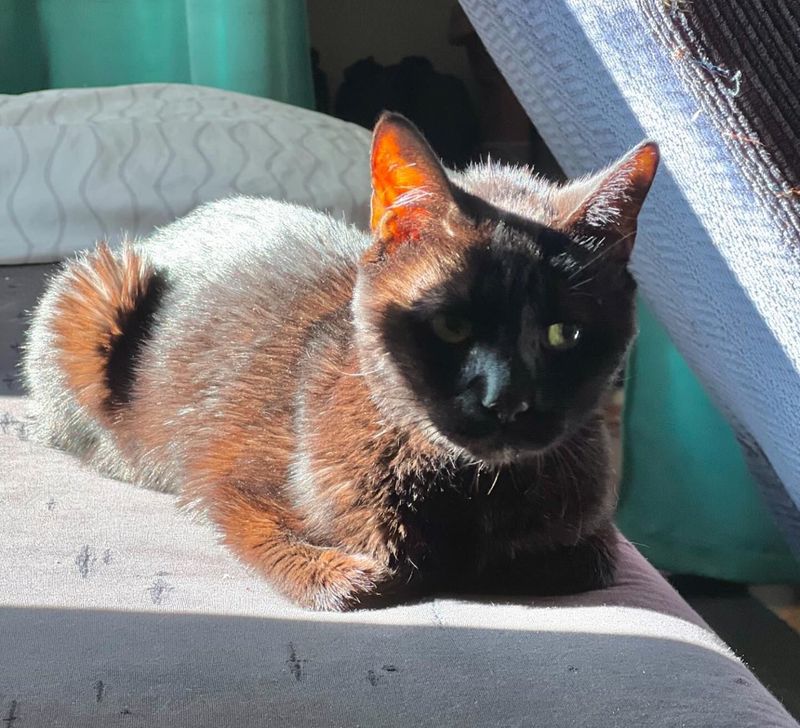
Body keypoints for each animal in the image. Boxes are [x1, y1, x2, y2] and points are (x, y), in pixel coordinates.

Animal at [25, 114, 660, 612]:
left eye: (563, 334)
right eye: (451, 326)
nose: (505, 400)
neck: (469, 486)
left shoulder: (592, 530)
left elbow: (575, 560)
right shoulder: (227, 485)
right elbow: (358, 581)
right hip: (91, 292)